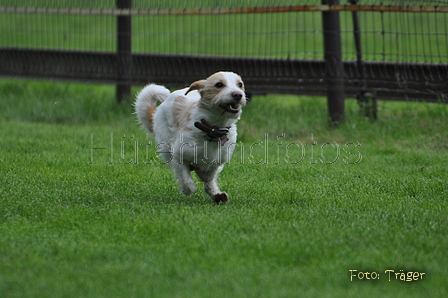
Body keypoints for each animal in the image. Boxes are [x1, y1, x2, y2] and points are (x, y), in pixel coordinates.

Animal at [136, 71, 248, 203]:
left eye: (240, 84)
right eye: (219, 84)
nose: (238, 94)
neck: (212, 130)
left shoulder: (218, 160)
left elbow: (209, 176)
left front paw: (210, 185)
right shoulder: (178, 154)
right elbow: (186, 178)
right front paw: (187, 188)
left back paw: (217, 195)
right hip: (165, 143)